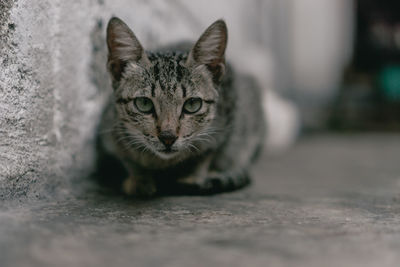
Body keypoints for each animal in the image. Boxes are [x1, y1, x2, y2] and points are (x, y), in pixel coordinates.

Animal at [97, 17, 266, 197]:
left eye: (192, 104)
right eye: (143, 103)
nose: (168, 137)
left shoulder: (225, 123)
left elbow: (206, 155)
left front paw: (192, 176)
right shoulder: (110, 130)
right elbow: (128, 159)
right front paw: (139, 179)